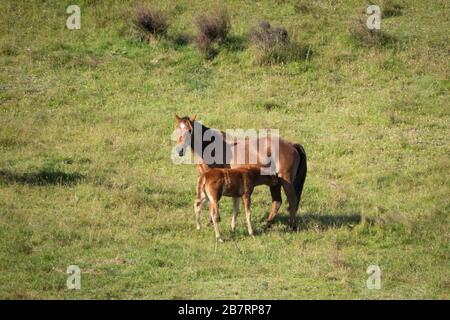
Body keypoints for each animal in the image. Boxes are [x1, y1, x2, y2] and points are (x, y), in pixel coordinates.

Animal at [173, 114, 306, 229]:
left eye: (190, 130)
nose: (180, 150)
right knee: (277, 202)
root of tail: (292, 145)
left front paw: (212, 221)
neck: (211, 146)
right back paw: (267, 225)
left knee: (292, 200)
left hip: (286, 180)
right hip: (275, 182)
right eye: (177, 130)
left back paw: (291, 227)